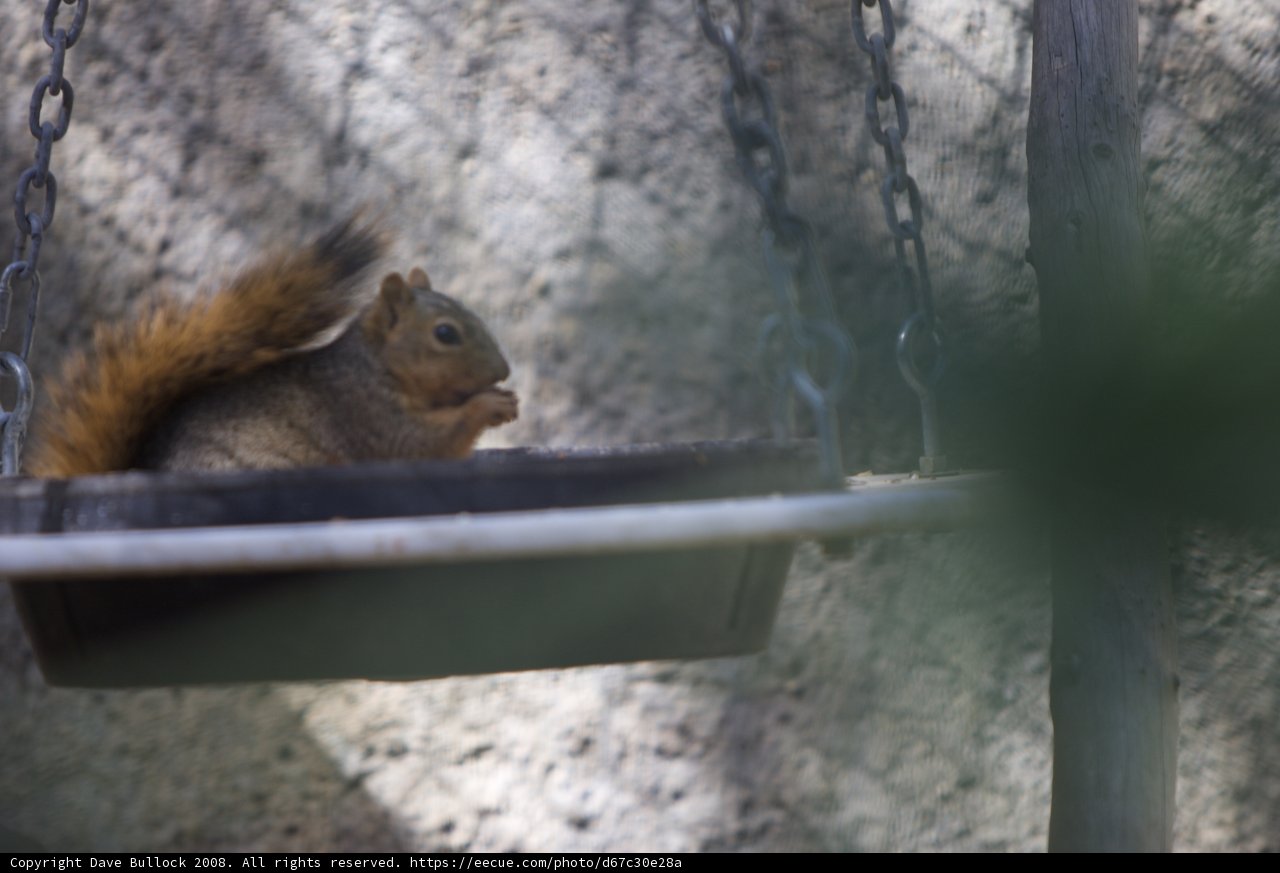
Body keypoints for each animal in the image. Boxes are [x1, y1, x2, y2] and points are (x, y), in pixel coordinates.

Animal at [26, 214, 518, 477]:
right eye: (445, 334)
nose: (503, 372)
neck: (375, 364)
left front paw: (502, 399)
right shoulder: (363, 411)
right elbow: (420, 441)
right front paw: (488, 405)